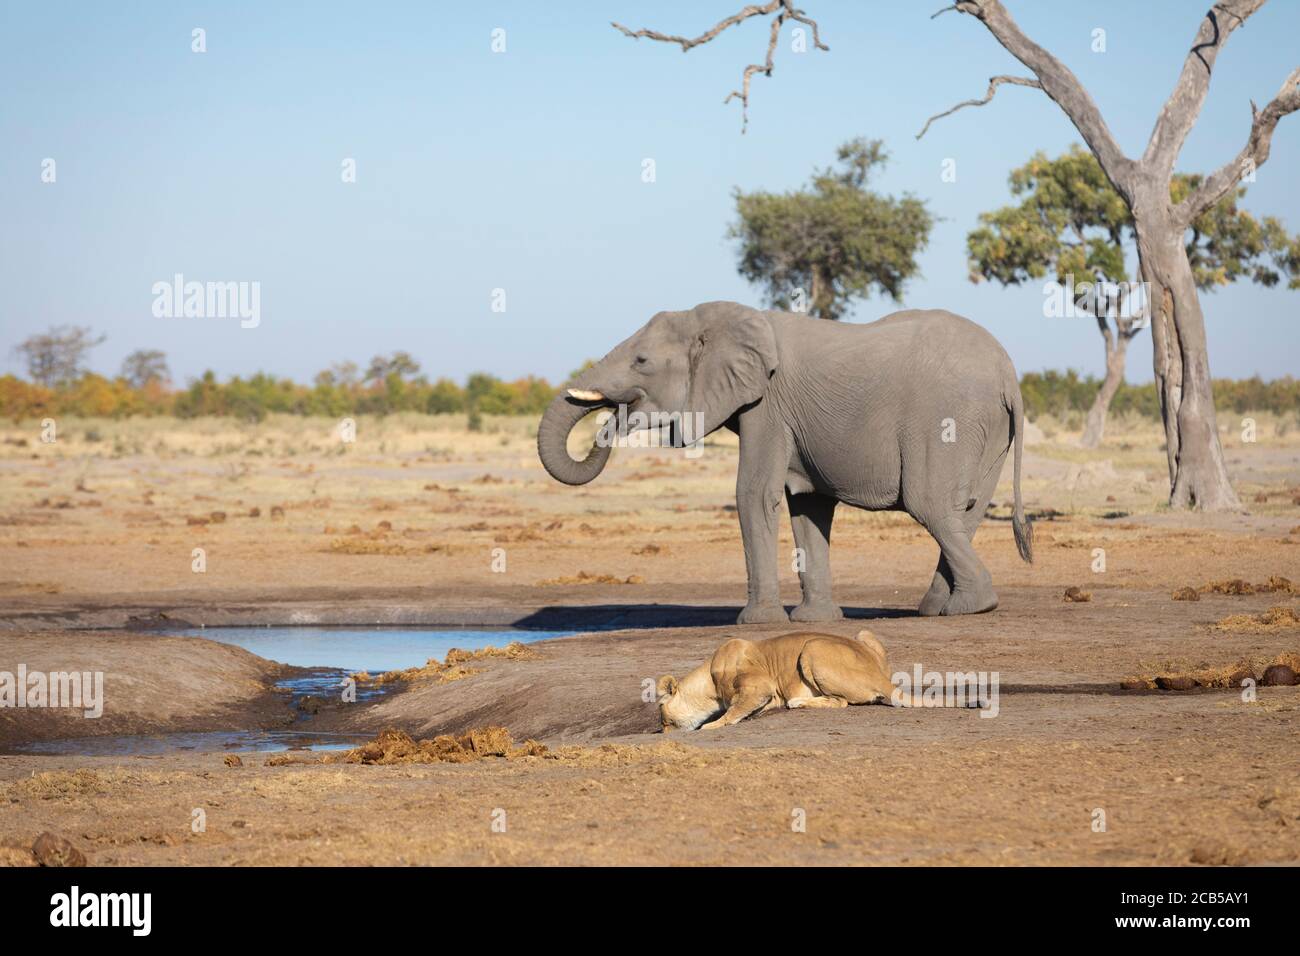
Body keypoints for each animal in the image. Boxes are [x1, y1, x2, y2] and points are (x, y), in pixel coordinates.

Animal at [533, 303, 1029, 624]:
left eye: (641, 361)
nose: (611, 422)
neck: (716, 317)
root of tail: (1008, 373)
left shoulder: (767, 406)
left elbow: (754, 495)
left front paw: (756, 622)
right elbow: (808, 506)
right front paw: (816, 621)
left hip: (947, 419)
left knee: (929, 504)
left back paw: (970, 607)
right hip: (988, 431)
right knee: (965, 511)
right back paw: (937, 609)